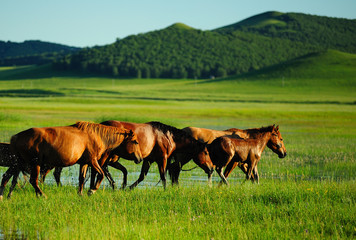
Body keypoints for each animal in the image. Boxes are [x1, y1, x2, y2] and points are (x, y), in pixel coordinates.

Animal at [1, 122, 143, 199]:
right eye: (135, 141)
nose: (140, 158)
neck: (97, 136)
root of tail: (15, 137)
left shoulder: (84, 163)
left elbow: (81, 178)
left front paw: (81, 194)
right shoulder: (93, 160)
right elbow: (101, 175)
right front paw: (91, 190)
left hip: (18, 163)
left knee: (7, 177)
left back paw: (4, 196)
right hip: (34, 163)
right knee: (33, 180)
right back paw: (42, 195)